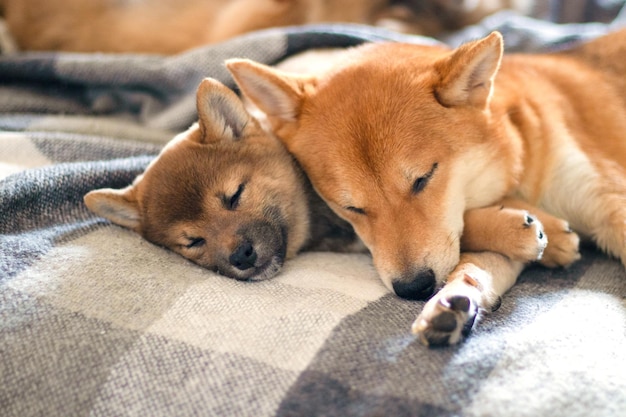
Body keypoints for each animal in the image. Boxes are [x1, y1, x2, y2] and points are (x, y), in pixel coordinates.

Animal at [224, 28, 624, 342]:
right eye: (351, 207)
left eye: (423, 179)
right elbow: (475, 264)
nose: (413, 288)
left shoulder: (608, 204)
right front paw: (454, 301)